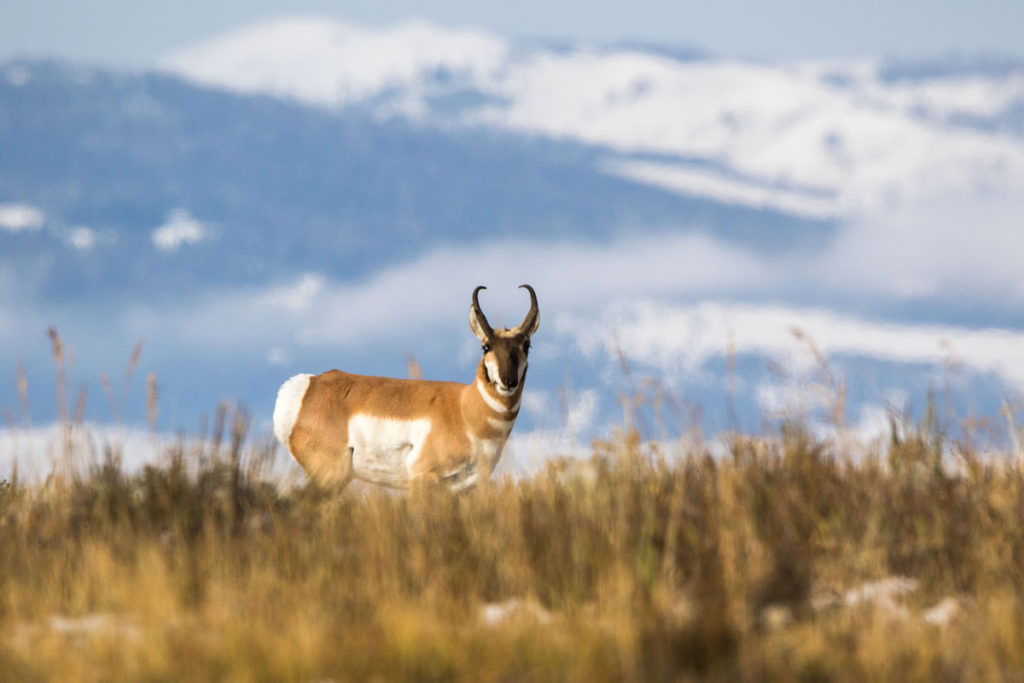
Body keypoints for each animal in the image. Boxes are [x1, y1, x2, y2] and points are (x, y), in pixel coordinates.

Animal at [276, 284, 540, 491]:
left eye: (526, 346)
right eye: (486, 347)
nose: (508, 382)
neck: (465, 408)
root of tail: (308, 386)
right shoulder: (423, 480)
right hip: (329, 477)